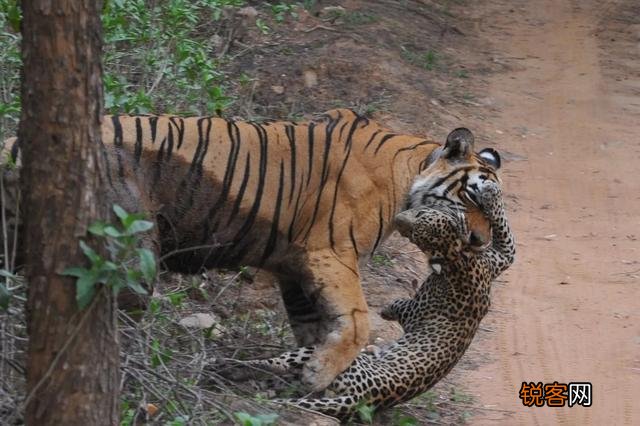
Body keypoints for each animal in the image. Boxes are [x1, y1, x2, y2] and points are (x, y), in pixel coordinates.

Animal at [1, 108, 502, 390]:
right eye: (473, 199)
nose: (478, 243)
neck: (409, 172)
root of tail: (13, 143)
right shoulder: (330, 253)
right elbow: (358, 323)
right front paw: (319, 376)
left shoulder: (295, 268)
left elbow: (314, 328)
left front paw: (305, 375)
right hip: (130, 250)